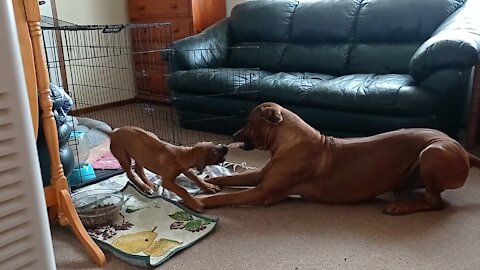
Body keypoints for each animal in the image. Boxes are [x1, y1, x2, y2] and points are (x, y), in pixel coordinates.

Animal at [98, 125, 228, 212]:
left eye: (215, 144)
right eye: (215, 152)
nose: (225, 146)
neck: (181, 154)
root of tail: (113, 133)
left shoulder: (186, 170)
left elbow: (197, 179)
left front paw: (209, 186)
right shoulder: (167, 181)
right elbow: (183, 190)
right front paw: (195, 204)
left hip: (140, 156)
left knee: (139, 170)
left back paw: (150, 184)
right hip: (124, 157)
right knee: (131, 174)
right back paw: (145, 188)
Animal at [201, 102, 480, 215]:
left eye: (249, 122)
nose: (233, 136)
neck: (290, 141)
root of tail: (463, 149)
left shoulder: (264, 192)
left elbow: (227, 197)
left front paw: (202, 200)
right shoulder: (262, 175)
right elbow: (233, 180)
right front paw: (209, 181)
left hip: (432, 152)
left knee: (436, 203)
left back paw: (401, 207)